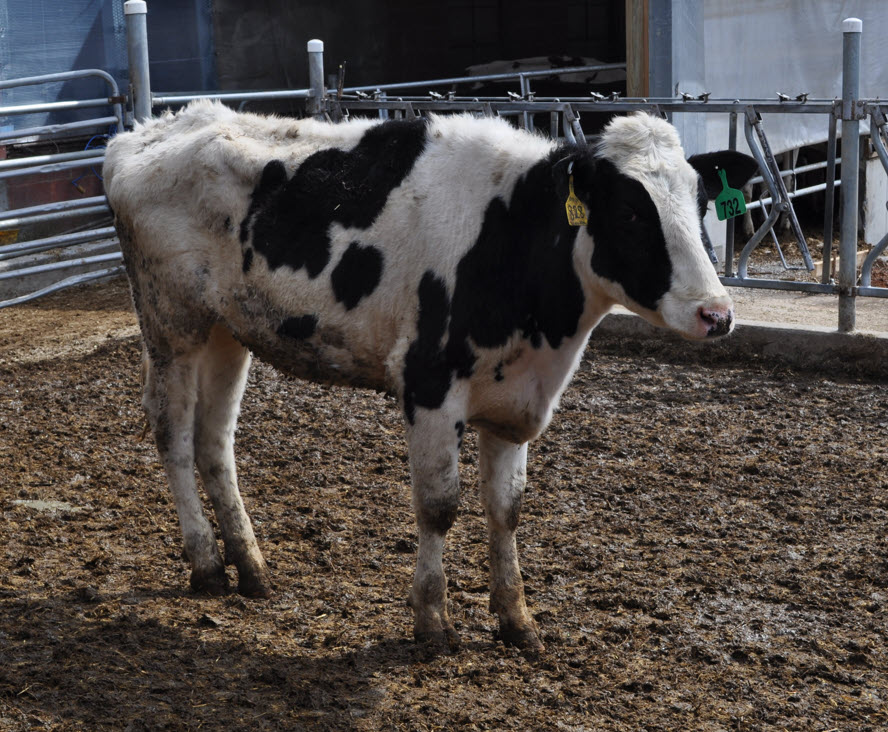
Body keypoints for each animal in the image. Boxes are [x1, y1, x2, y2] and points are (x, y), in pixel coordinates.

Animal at [103, 101, 756, 652]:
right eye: (630, 210)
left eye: (700, 202)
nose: (717, 313)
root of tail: (150, 129)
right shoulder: (429, 387)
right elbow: (439, 506)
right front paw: (433, 623)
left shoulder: (515, 400)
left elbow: (507, 509)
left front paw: (517, 620)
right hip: (171, 326)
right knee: (173, 435)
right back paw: (207, 563)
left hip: (227, 331)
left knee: (215, 442)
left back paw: (252, 566)